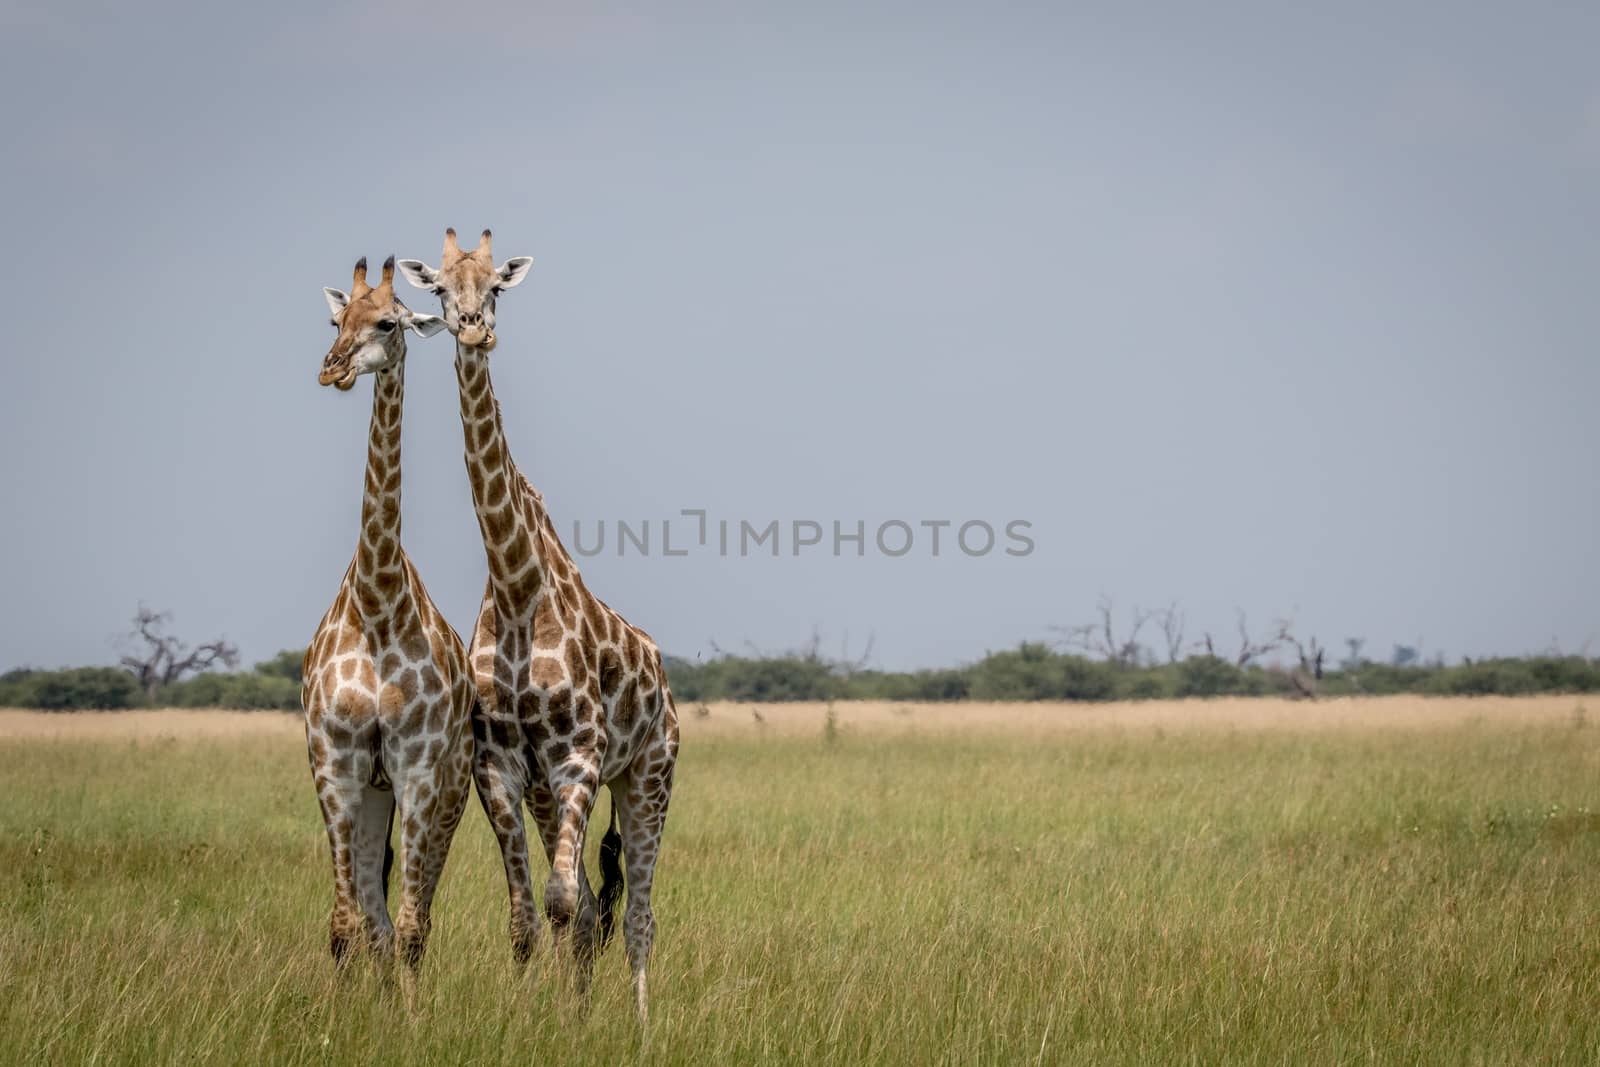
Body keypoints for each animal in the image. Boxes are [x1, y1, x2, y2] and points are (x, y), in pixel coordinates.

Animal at [403, 230, 678, 1023]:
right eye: (440, 289)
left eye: (497, 285)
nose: (473, 330)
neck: (518, 586)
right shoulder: (501, 764)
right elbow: (531, 915)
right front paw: (543, 1016)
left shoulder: (580, 754)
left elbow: (559, 901)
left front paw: (565, 1019)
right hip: (551, 792)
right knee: (589, 908)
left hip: (650, 775)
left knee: (639, 912)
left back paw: (642, 1023)